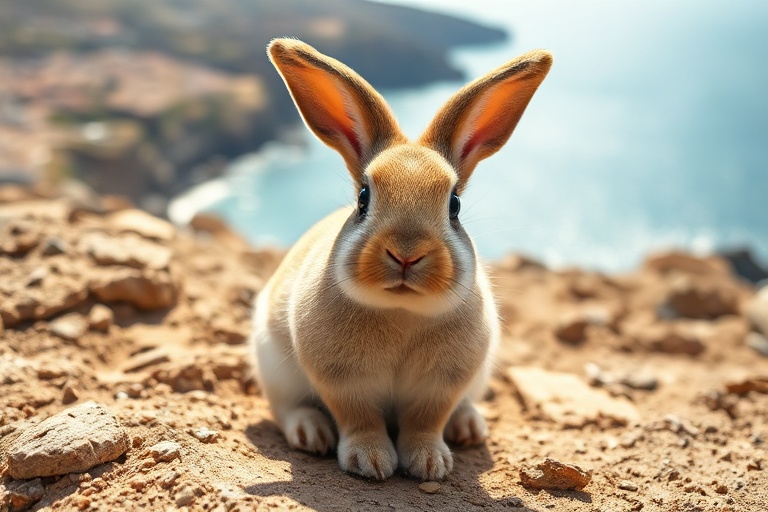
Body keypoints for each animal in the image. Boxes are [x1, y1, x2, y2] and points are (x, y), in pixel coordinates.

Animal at [250, 38, 552, 481]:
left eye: (454, 205)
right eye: (363, 198)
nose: (406, 253)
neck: (401, 311)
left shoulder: (440, 387)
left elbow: (425, 421)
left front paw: (430, 463)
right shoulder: (344, 382)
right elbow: (359, 418)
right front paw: (371, 461)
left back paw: (468, 427)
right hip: (273, 369)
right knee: (287, 409)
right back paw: (311, 433)